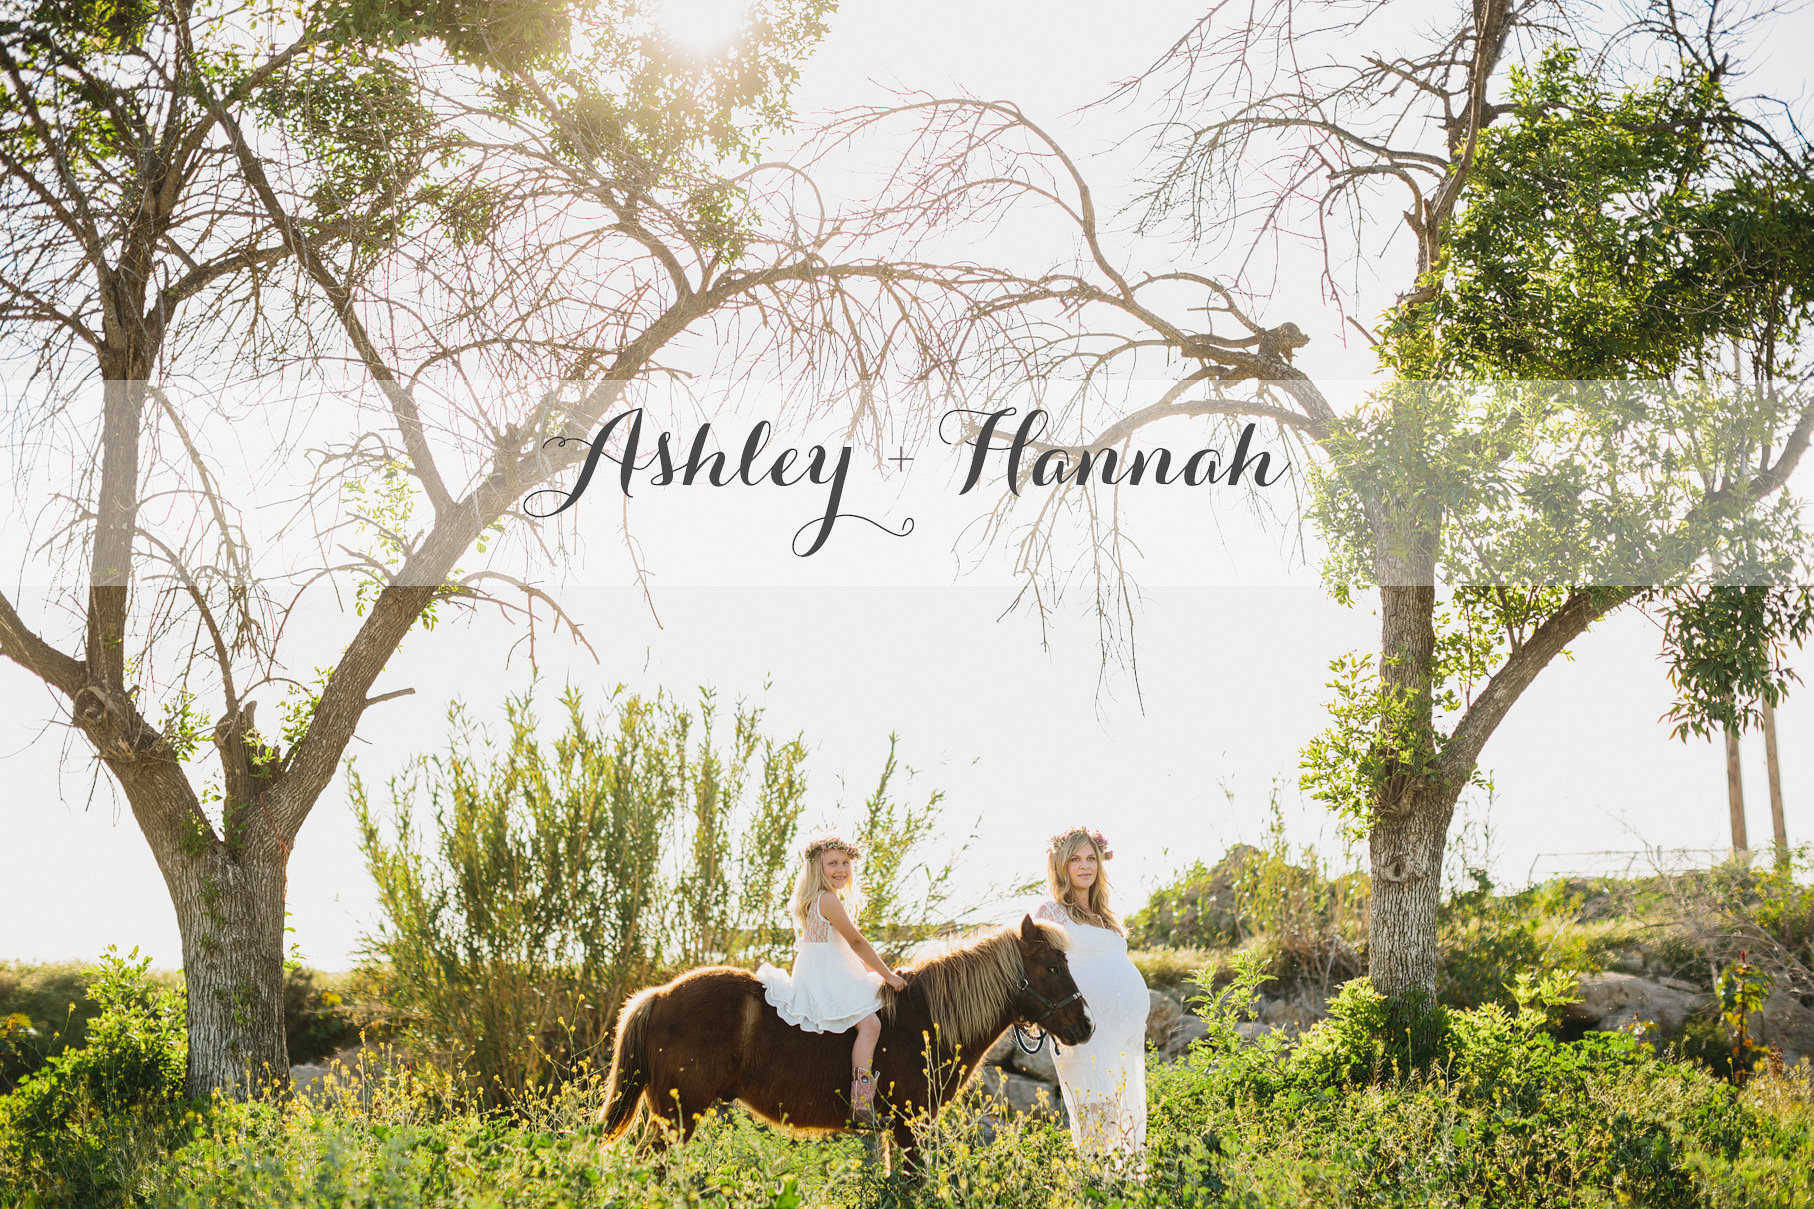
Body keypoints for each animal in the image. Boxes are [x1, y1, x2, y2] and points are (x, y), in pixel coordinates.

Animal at [602, 914, 1095, 1161]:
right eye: (1052, 967)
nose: (1086, 1025)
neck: (926, 1020)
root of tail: (659, 996)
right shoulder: (910, 1126)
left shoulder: (900, 1129)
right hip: (676, 1116)